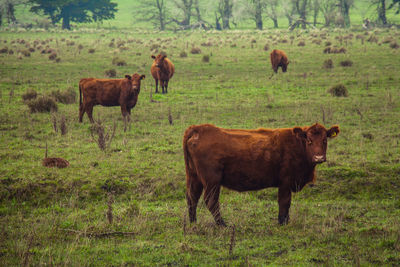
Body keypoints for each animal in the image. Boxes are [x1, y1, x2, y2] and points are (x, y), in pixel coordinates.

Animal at [183, 123, 340, 226]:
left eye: (325, 140)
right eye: (309, 140)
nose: (319, 157)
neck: (297, 145)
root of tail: (198, 128)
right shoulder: (285, 182)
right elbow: (284, 202)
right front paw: (282, 222)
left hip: (194, 177)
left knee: (192, 198)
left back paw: (193, 222)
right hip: (212, 181)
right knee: (211, 201)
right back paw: (222, 224)